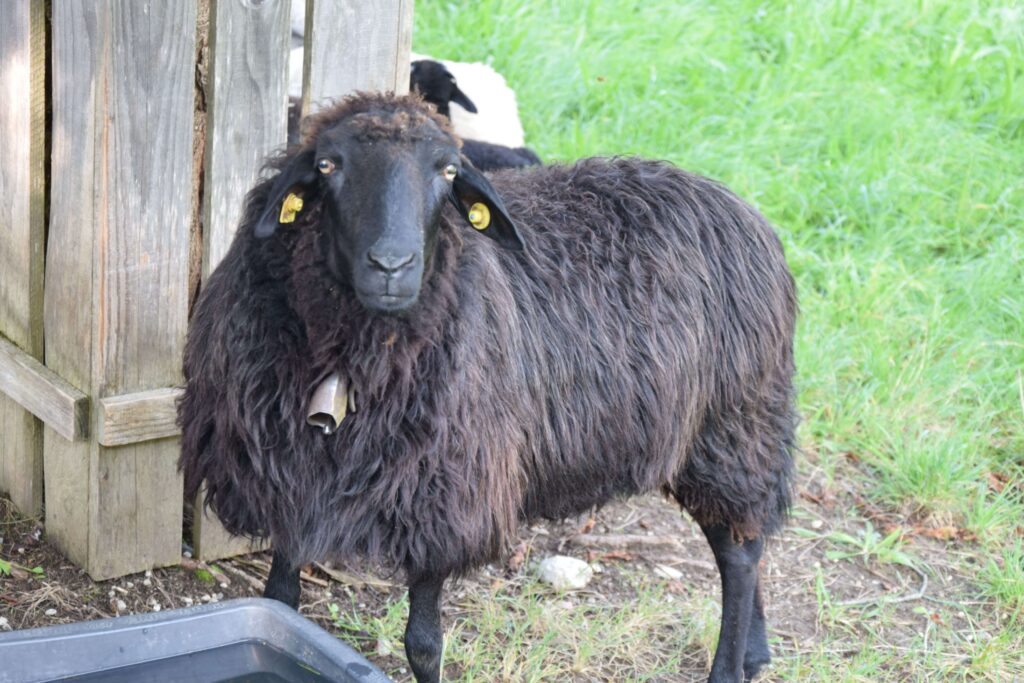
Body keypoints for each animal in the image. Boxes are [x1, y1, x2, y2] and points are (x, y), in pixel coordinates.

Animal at [178, 92, 797, 683]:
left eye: (449, 170)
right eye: (327, 165)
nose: (392, 265)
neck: (350, 359)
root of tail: (737, 205)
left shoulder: (444, 495)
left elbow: (423, 644)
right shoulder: (285, 480)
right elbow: (279, 604)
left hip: (733, 426)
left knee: (740, 551)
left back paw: (729, 668)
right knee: (743, 537)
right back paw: (756, 652)